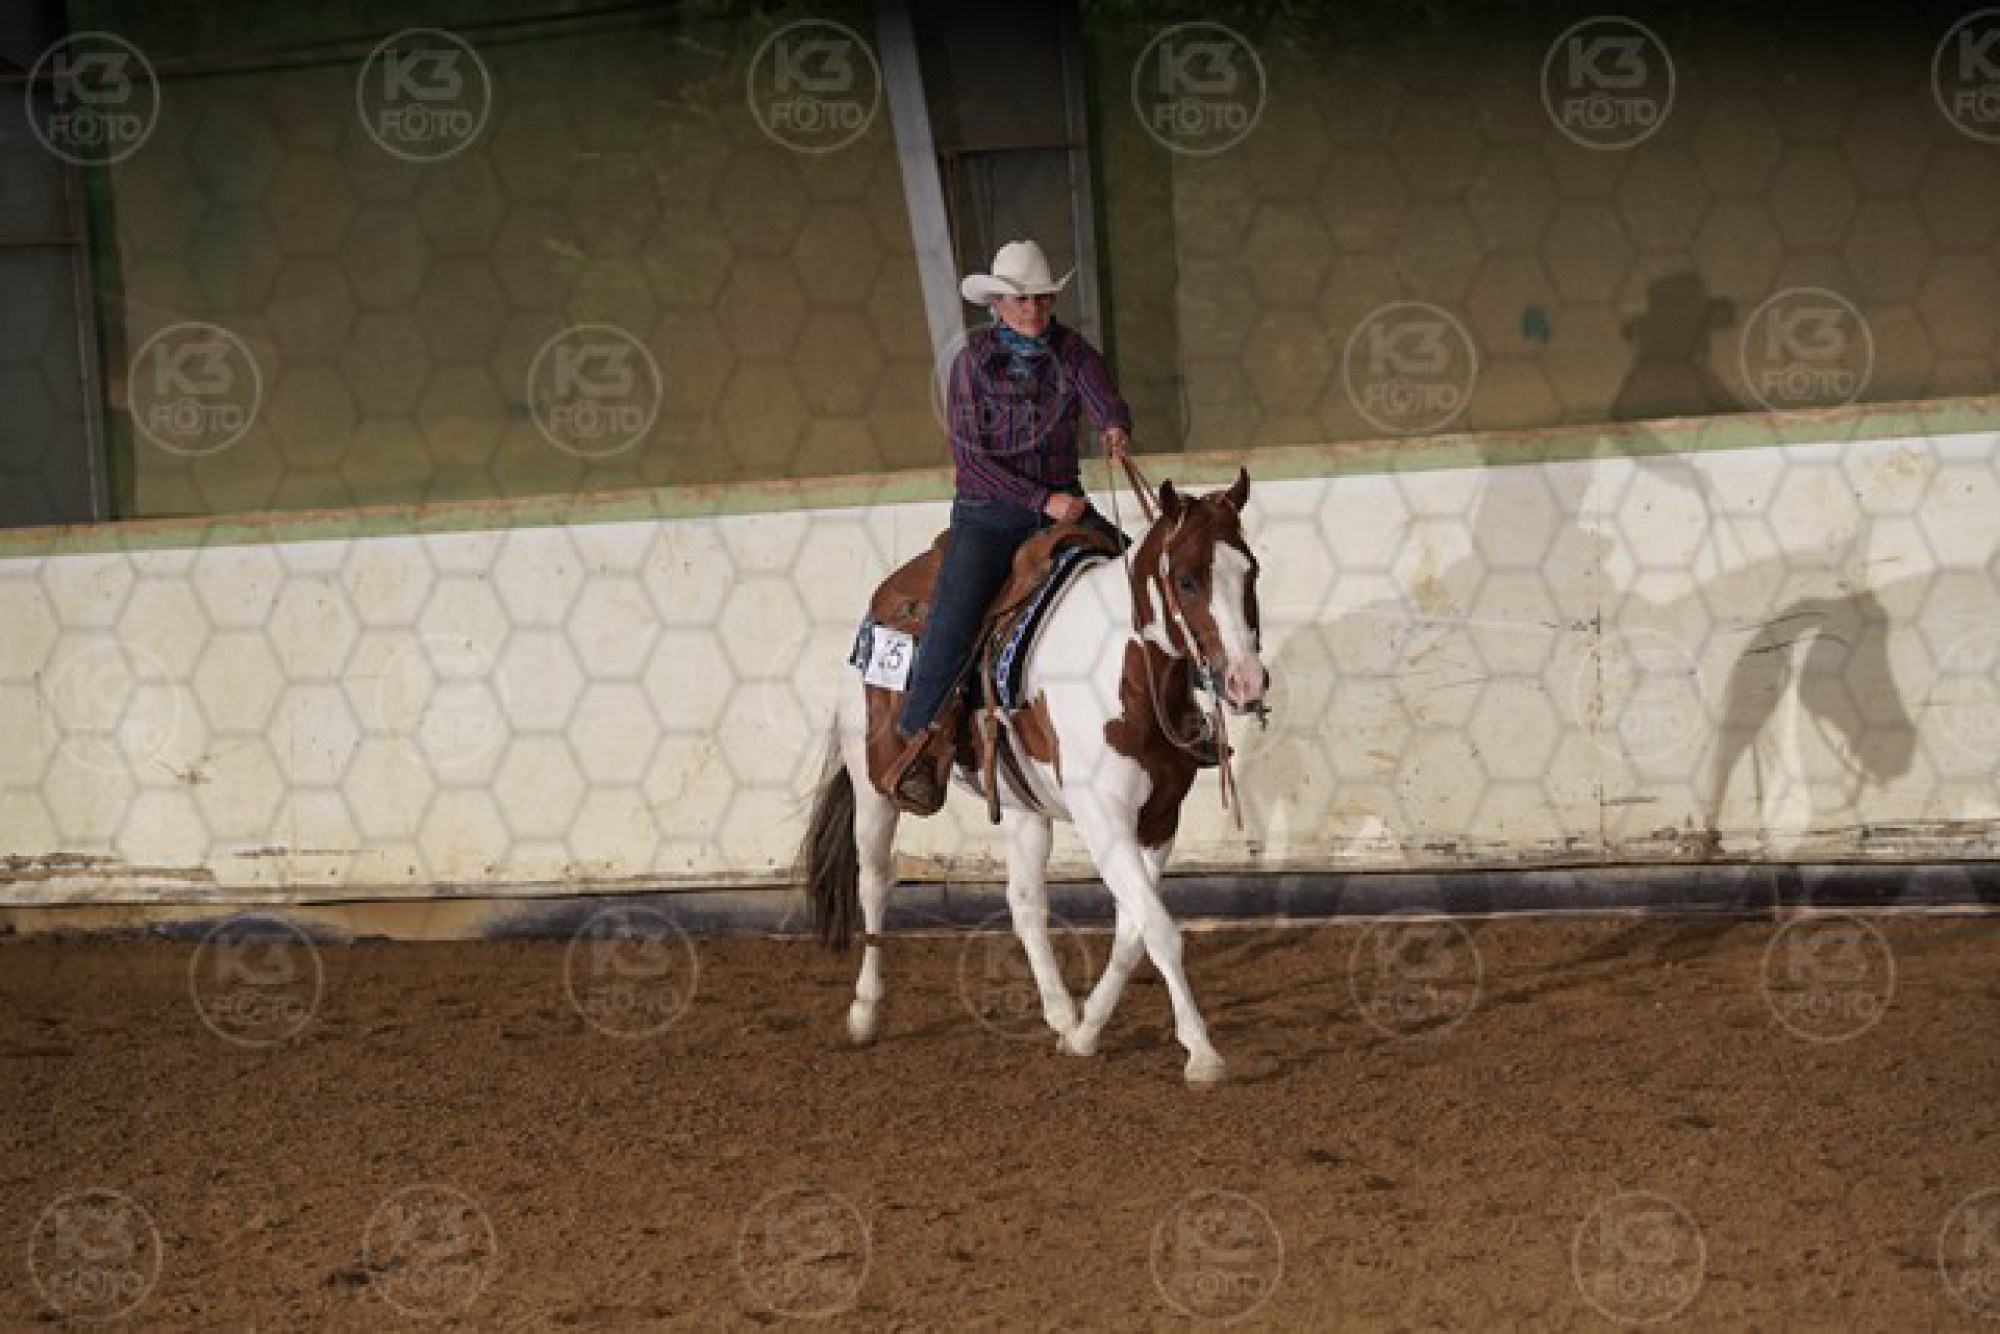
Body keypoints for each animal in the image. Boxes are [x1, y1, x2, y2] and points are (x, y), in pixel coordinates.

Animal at [797, 468, 1270, 1086]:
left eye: (1251, 570)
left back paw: (1060, 1013)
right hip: (874, 786)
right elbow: (1161, 931)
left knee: (1024, 904)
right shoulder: (1103, 820)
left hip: (1024, 810)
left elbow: (1134, 931)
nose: (1246, 681)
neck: (1127, 676)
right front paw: (1202, 1052)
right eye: (1187, 580)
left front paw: (1087, 1032)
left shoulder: (1158, 820)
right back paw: (865, 1011)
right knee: (874, 883)